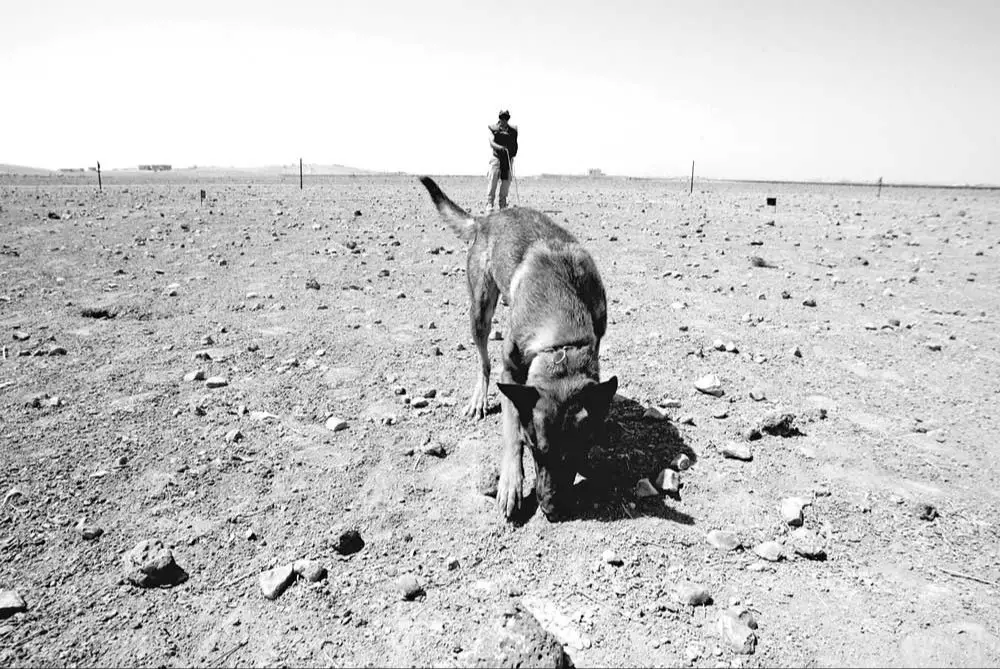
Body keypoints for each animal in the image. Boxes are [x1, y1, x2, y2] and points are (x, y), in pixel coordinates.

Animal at [416, 177, 616, 520]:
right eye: (534, 450)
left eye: (574, 455)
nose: (550, 508)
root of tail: (486, 220)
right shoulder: (510, 372)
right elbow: (511, 431)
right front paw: (511, 481)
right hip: (480, 312)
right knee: (483, 362)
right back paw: (479, 398)